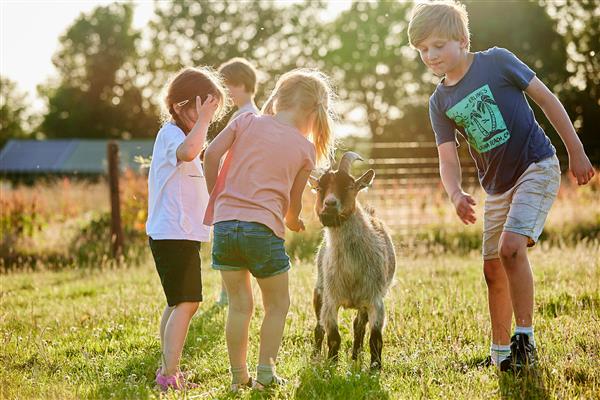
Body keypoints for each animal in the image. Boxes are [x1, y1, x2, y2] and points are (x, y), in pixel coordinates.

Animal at [310, 152, 394, 368]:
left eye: (349, 186)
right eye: (319, 188)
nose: (329, 205)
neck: (351, 272)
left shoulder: (375, 300)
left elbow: (375, 337)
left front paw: (375, 368)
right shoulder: (331, 300)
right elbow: (333, 336)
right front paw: (331, 366)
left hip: (362, 303)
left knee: (359, 326)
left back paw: (355, 357)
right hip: (319, 289)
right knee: (318, 327)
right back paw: (315, 357)